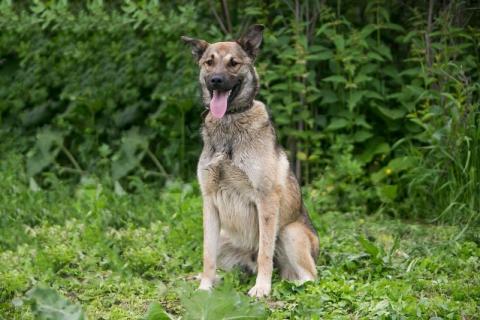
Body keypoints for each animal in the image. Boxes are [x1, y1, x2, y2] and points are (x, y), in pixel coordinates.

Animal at [180, 24, 318, 298]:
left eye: (233, 63)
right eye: (209, 63)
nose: (216, 80)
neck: (229, 123)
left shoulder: (266, 200)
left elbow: (265, 252)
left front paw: (262, 288)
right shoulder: (209, 202)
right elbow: (207, 255)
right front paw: (204, 287)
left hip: (289, 232)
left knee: (309, 276)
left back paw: (286, 284)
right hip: (225, 236)